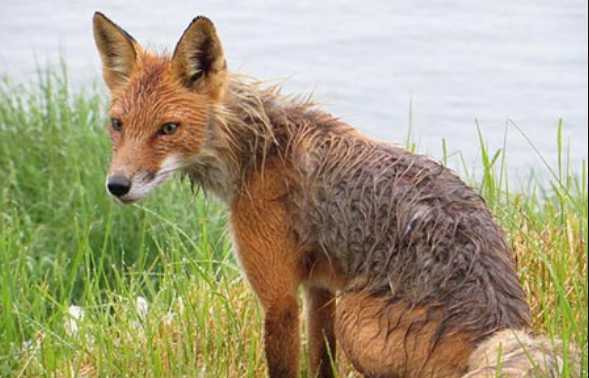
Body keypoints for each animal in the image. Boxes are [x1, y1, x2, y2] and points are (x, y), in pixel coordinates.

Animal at [92, 11, 580, 378]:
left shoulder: (279, 298)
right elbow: (321, 364)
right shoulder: (320, 288)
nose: (117, 186)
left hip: (356, 323)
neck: (261, 149)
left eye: (168, 128)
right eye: (117, 124)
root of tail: (501, 326)